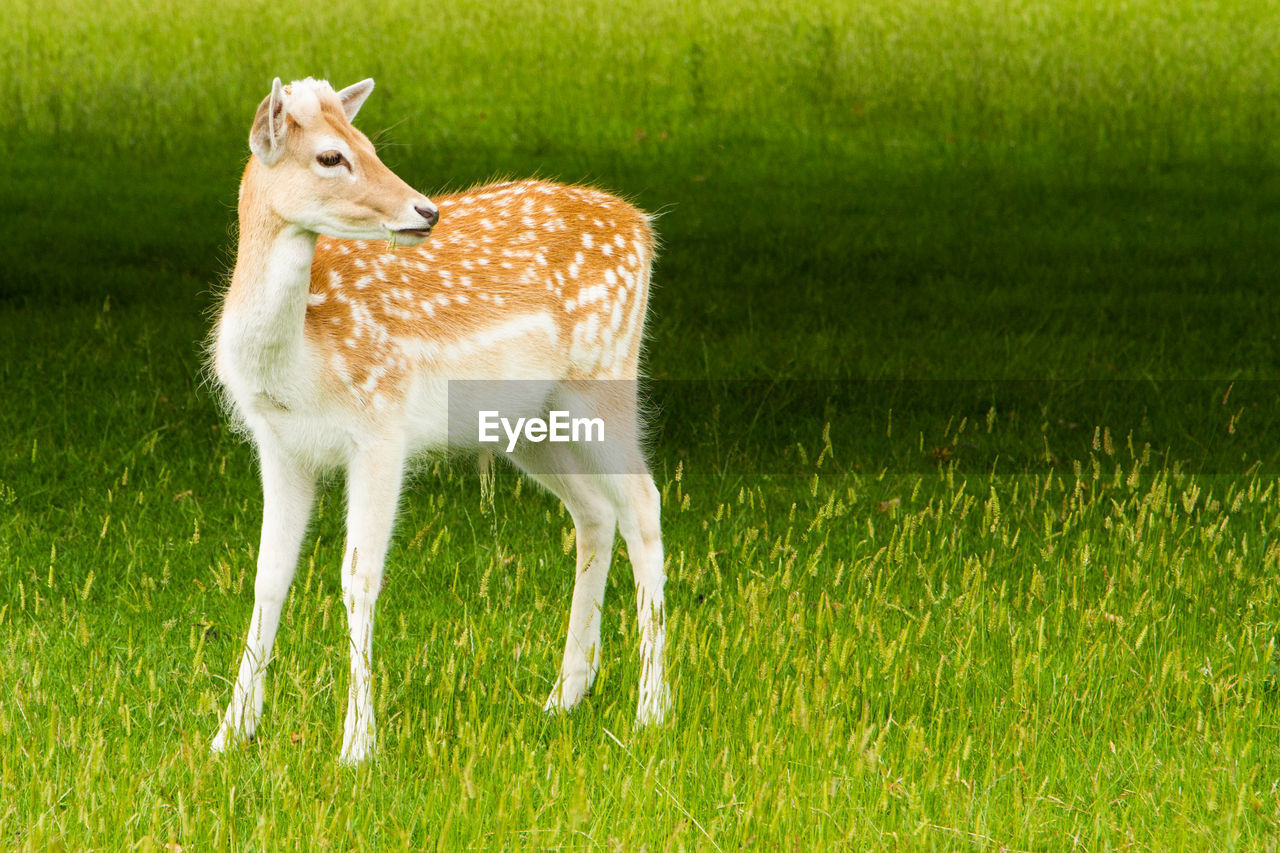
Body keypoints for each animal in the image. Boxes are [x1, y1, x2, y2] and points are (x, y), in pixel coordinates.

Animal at [209, 76, 670, 758]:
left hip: (605, 380)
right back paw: (565, 695)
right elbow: (269, 577)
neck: (301, 365)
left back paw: (651, 709)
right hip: (531, 422)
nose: (425, 211)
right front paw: (228, 734)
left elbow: (358, 578)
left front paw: (357, 747)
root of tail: (642, 224)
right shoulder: (280, 445)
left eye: (370, 145)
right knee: (594, 510)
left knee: (643, 503)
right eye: (331, 156)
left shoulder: (381, 425)